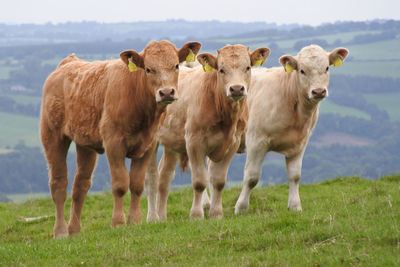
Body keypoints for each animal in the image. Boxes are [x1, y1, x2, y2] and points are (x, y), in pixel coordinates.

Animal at [145, 44, 270, 222]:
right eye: (221, 69)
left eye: (248, 67)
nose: (236, 88)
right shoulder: (194, 142)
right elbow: (199, 182)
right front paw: (196, 215)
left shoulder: (232, 143)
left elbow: (218, 181)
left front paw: (216, 214)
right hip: (152, 141)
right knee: (152, 178)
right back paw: (152, 218)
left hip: (172, 143)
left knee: (165, 177)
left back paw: (162, 217)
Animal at [234, 45, 346, 214]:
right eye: (302, 70)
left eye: (327, 68)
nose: (319, 91)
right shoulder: (256, 140)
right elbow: (252, 177)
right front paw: (241, 207)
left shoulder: (300, 143)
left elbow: (295, 175)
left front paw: (295, 206)